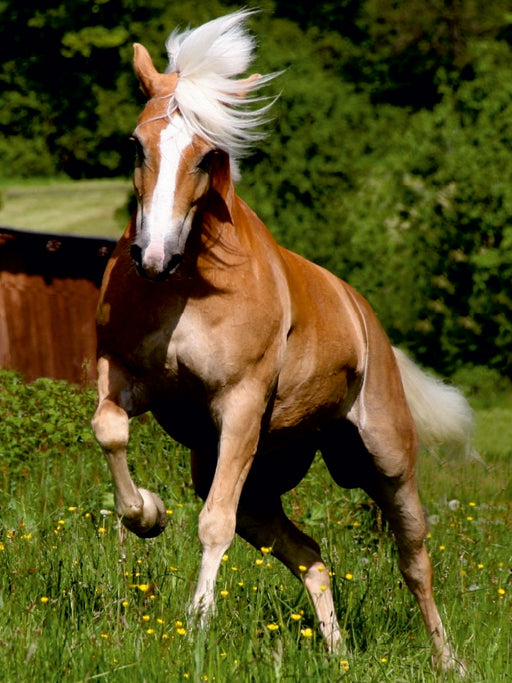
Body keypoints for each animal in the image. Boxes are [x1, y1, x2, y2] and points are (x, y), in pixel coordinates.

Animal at [92, 9, 472, 672]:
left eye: (207, 157)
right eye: (137, 145)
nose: (153, 256)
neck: (189, 284)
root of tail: (364, 316)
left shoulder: (242, 404)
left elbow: (212, 524)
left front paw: (197, 626)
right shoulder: (124, 374)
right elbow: (109, 430)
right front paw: (148, 514)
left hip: (387, 462)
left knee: (415, 559)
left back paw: (448, 660)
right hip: (260, 480)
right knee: (311, 554)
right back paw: (338, 651)